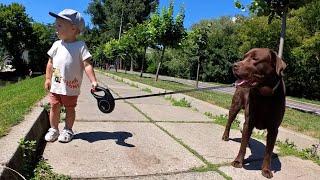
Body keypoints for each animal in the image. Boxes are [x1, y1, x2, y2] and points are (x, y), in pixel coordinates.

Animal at [222, 48, 288, 179]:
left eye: (255, 59)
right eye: (244, 57)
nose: (234, 65)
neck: (264, 96)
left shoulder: (274, 128)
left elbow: (268, 152)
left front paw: (266, 170)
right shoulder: (249, 121)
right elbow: (242, 145)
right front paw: (238, 161)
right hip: (235, 106)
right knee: (229, 122)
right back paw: (225, 136)